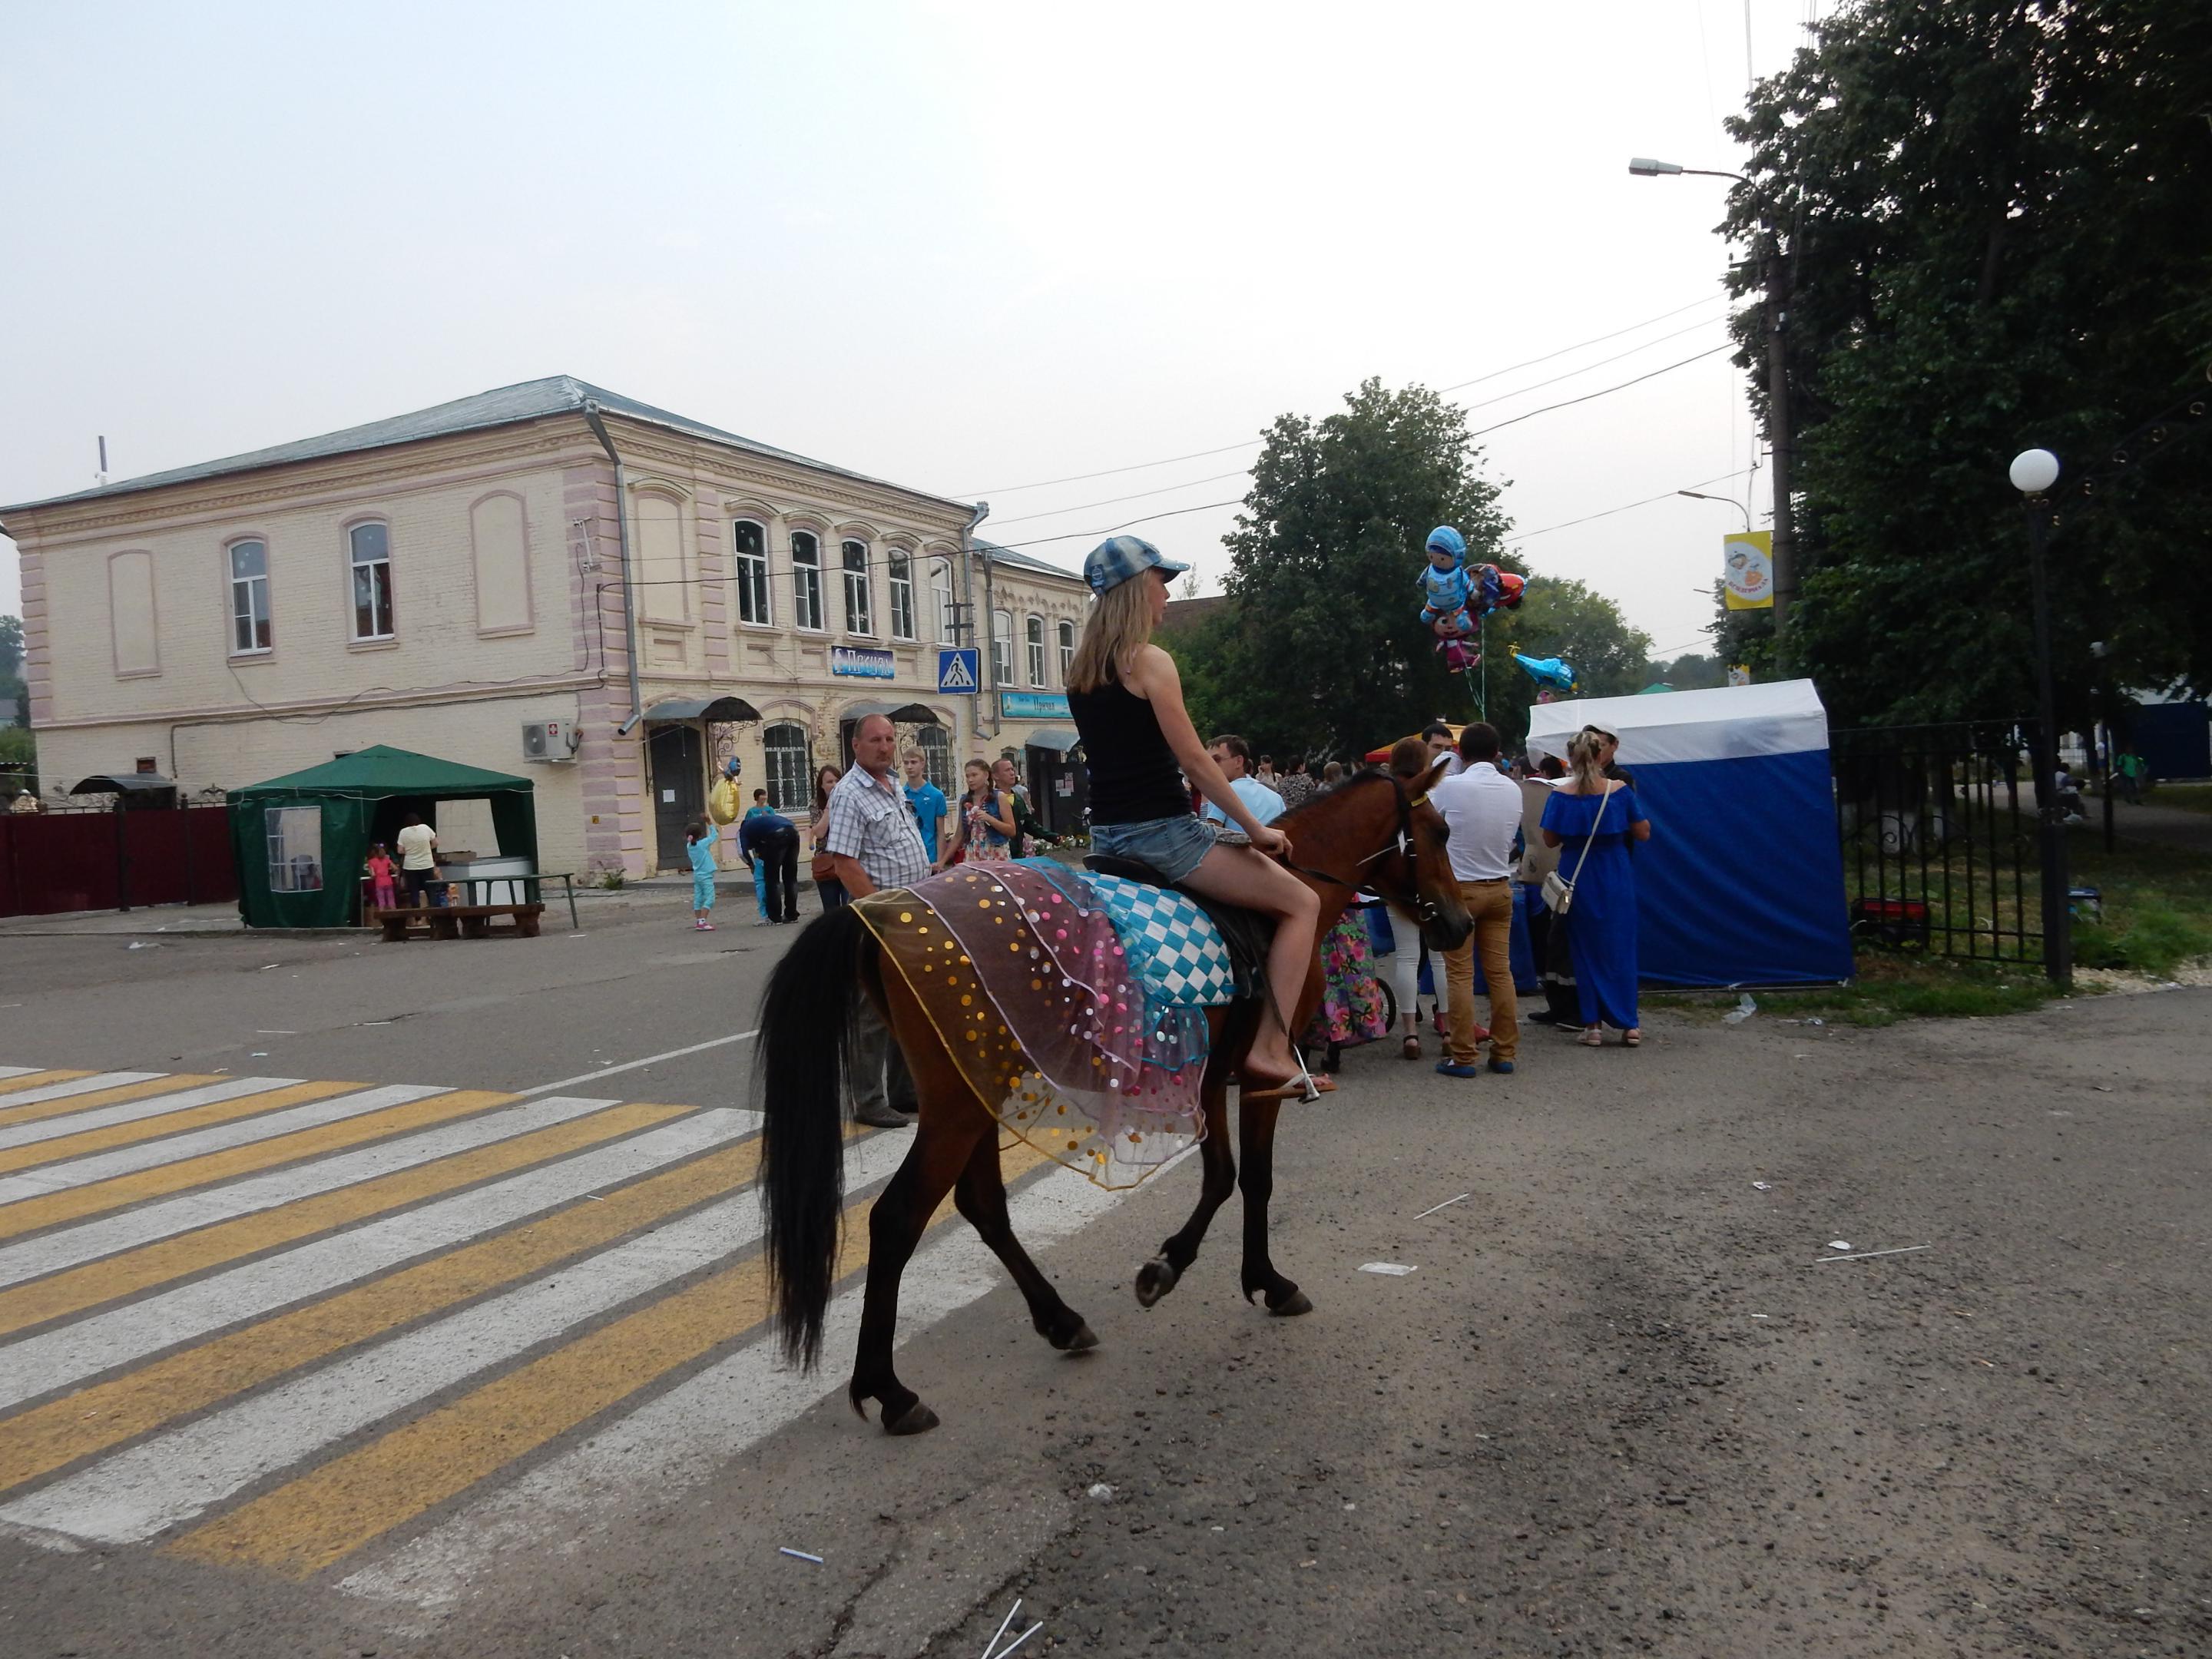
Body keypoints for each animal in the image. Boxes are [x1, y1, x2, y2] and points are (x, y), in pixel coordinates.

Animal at [760, 747, 1469, 1433]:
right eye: (1439, 831)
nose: (1460, 925)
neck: (1286, 898)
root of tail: (878, 912)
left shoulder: (1208, 1073)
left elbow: (1221, 1176)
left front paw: (1171, 1267)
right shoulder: (1257, 1077)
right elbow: (1254, 1179)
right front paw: (1259, 1279)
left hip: (977, 1089)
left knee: (982, 1205)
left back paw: (1060, 1322)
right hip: (956, 1108)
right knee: (897, 1218)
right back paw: (889, 1391)